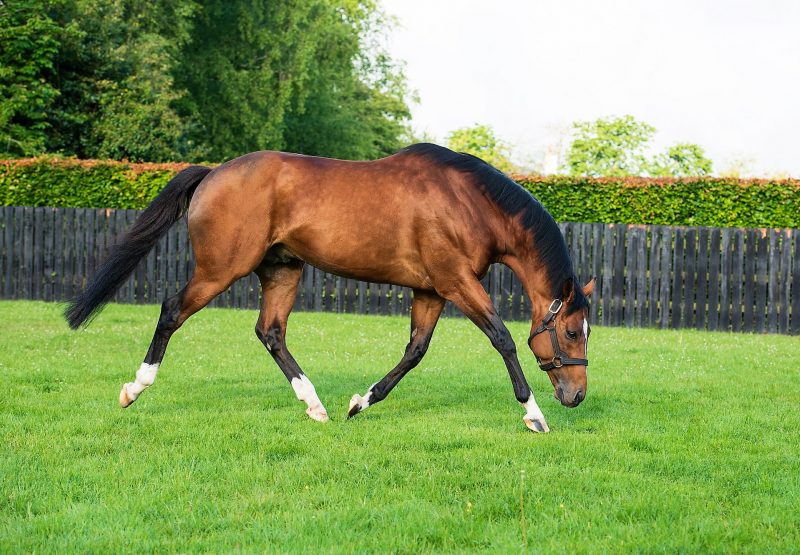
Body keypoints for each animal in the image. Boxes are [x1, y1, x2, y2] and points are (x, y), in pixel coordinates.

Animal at [65, 143, 592, 434]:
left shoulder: (431, 291)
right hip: (220, 269)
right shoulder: (457, 282)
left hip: (283, 270)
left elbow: (414, 352)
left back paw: (315, 405)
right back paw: (134, 388)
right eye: (571, 332)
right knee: (172, 310)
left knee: (271, 332)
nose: (578, 395)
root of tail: (212, 173)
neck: (469, 202)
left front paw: (360, 403)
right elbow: (502, 338)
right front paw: (534, 415)